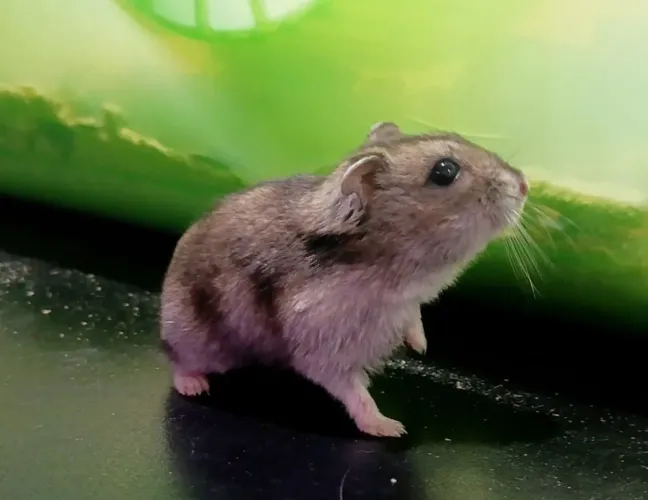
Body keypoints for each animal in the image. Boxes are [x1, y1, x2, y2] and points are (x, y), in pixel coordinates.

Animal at [160, 122, 528, 438]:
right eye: (445, 171)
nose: (525, 184)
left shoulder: (407, 305)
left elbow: (414, 317)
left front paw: (421, 347)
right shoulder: (324, 345)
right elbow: (354, 391)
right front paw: (392, 428)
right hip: (193, 337)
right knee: (178, 361)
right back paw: (194, 386)